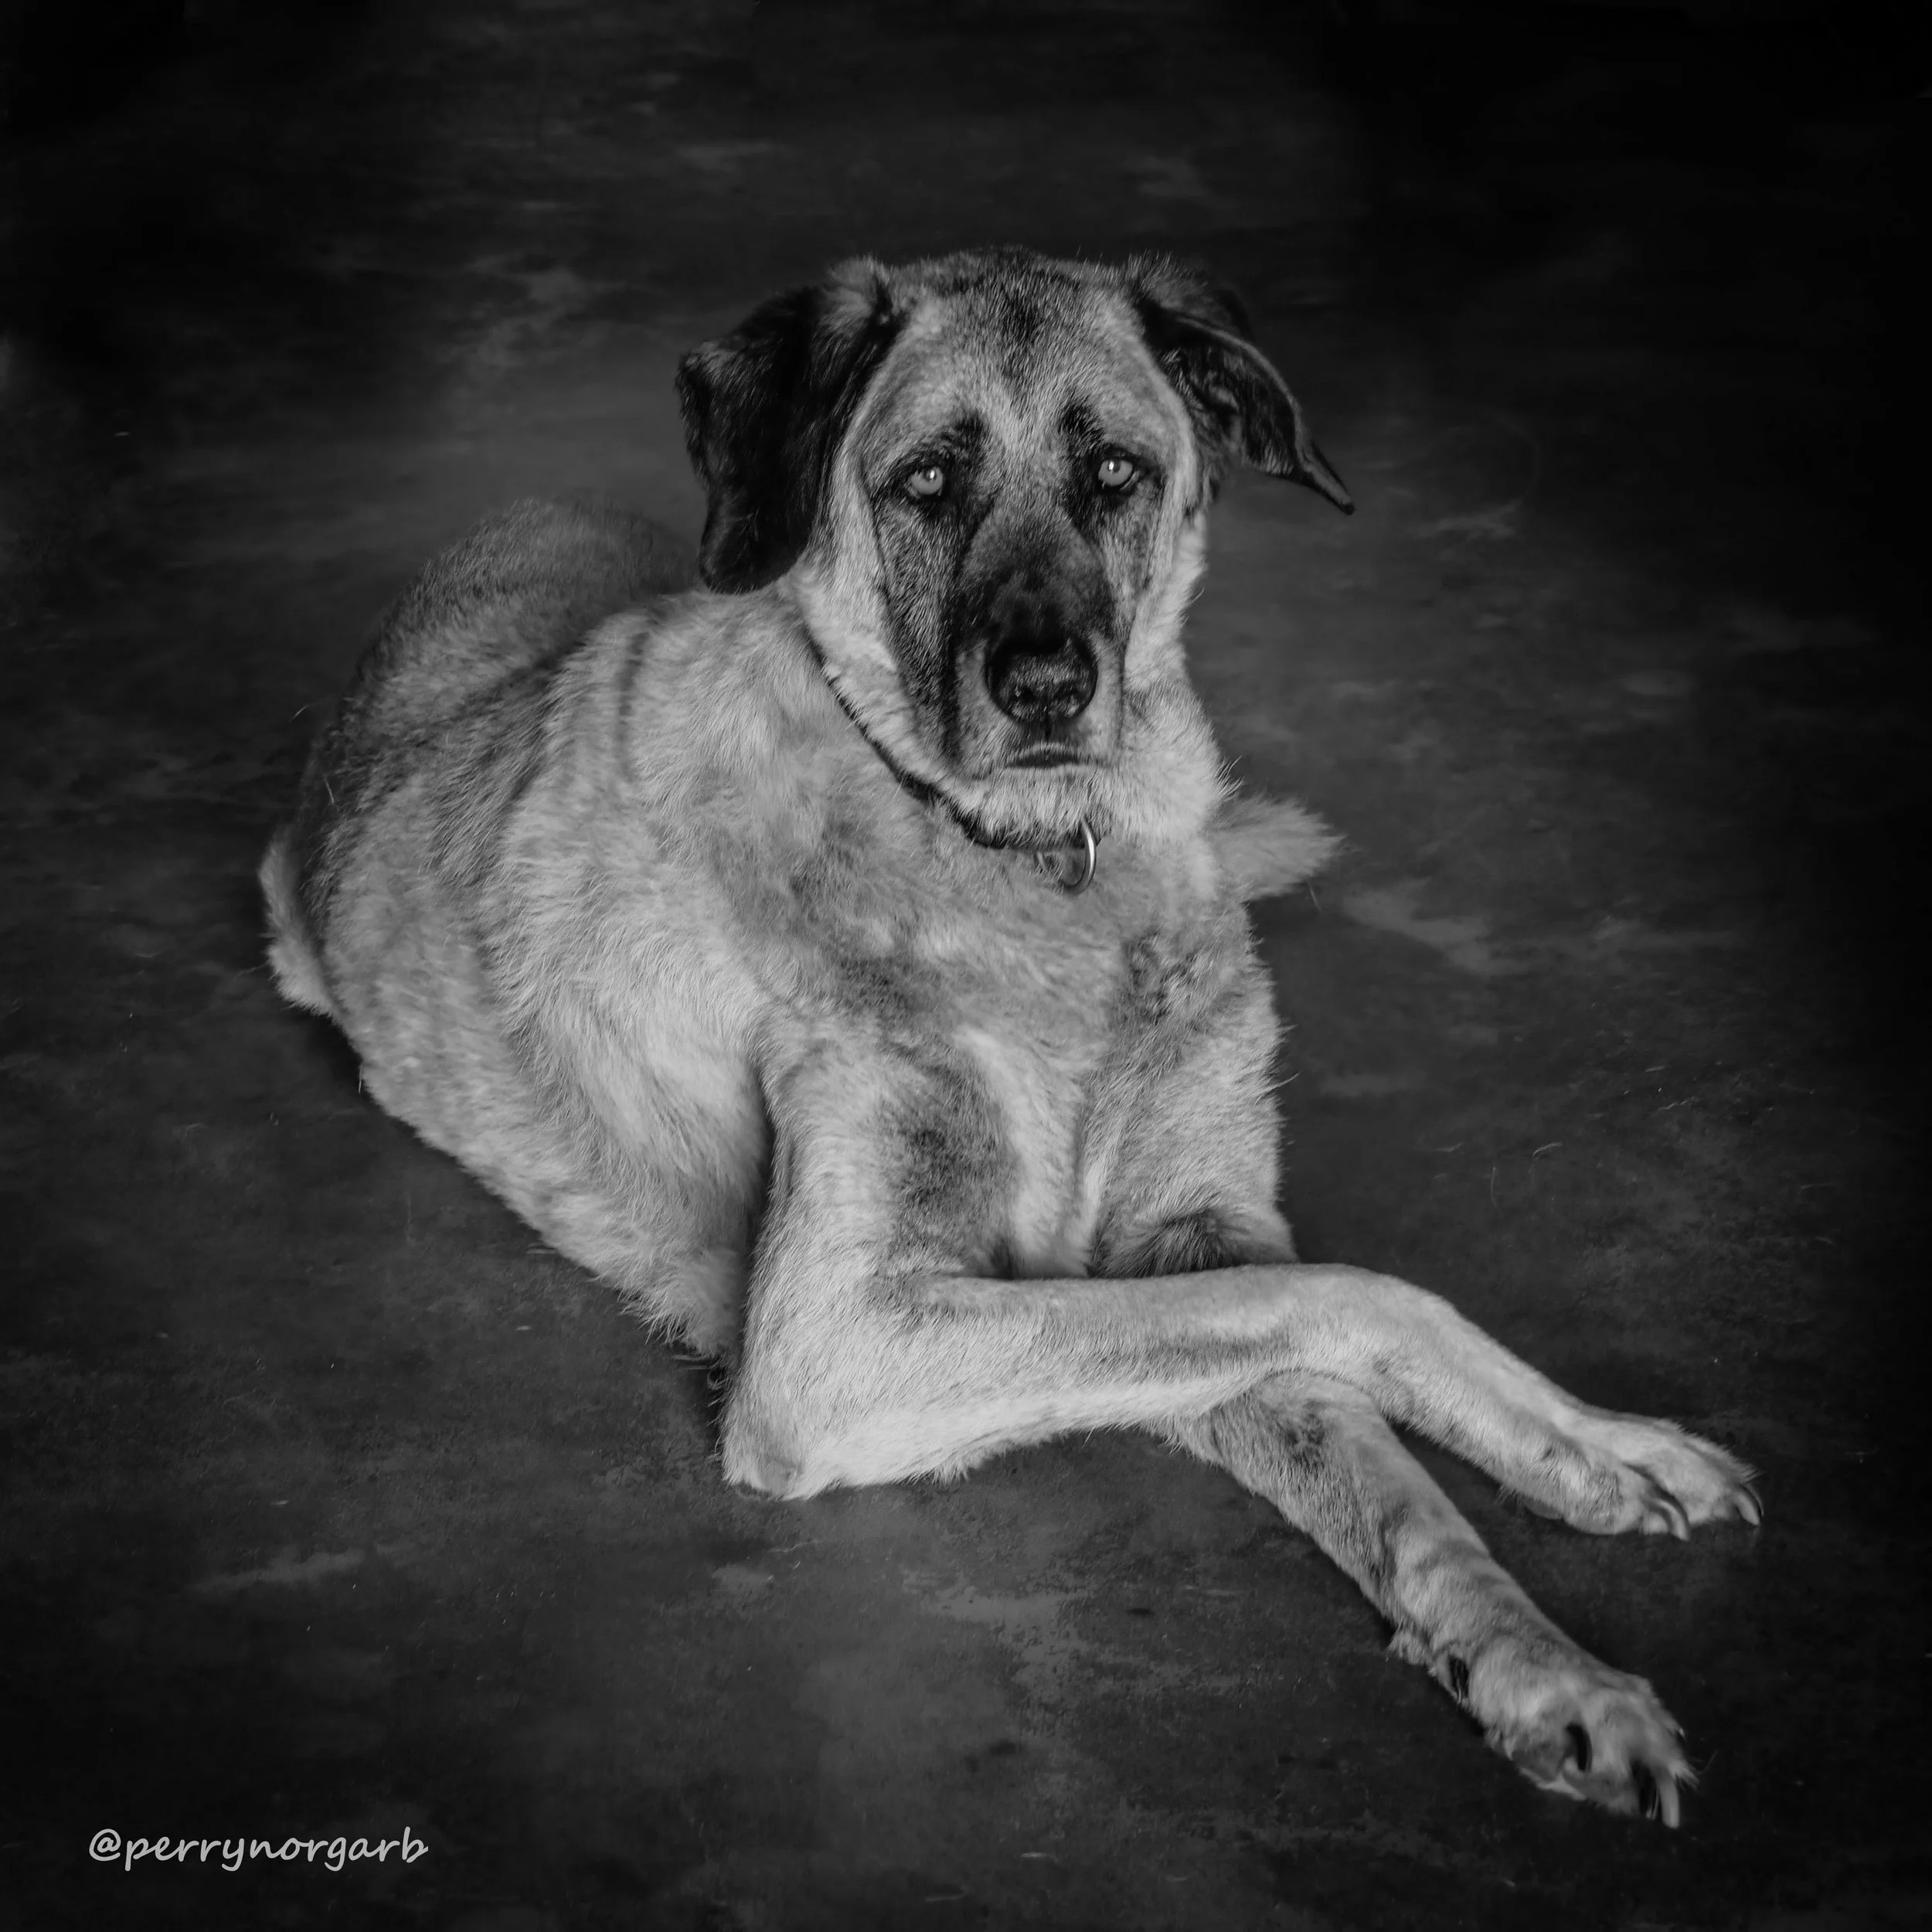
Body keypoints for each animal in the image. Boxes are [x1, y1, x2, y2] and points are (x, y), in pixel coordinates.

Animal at [260, 247, 1758, 1826]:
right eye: (926, 479)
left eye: (1116, 472)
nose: (1046, 689)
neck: (1032, 861)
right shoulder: (843, 1341)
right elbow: (1363, 1296)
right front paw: (1595, 1447)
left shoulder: (1189, 1244)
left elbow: (1377, 1460)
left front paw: (1549, 1647)